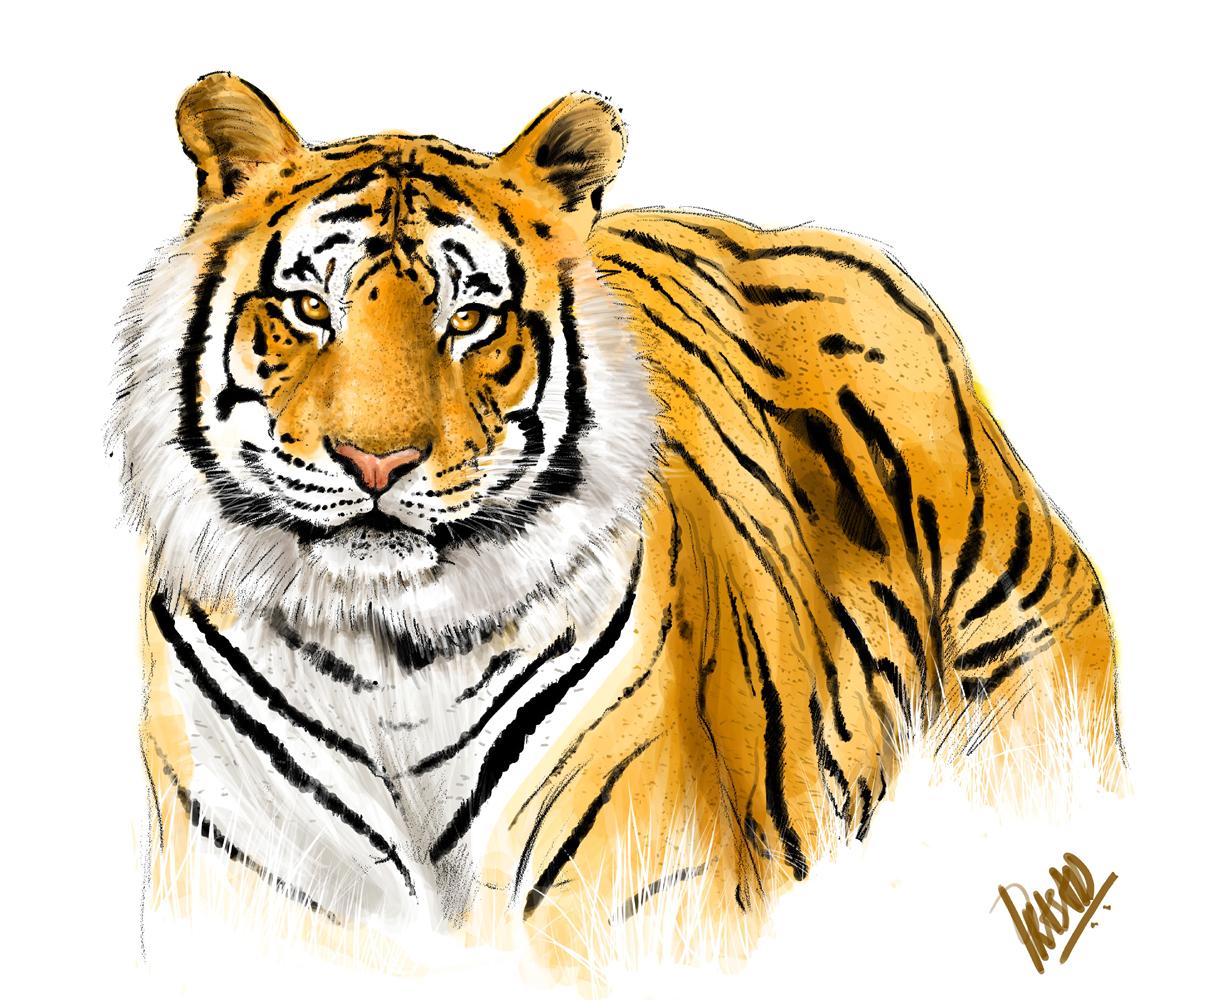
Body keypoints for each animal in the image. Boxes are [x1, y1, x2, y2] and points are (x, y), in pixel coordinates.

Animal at [111, 72, 1124, 973]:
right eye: (308, 308)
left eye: (471, 319)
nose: (376, 461)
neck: (393, 661)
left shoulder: (637, 912)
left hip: (1029, 672)